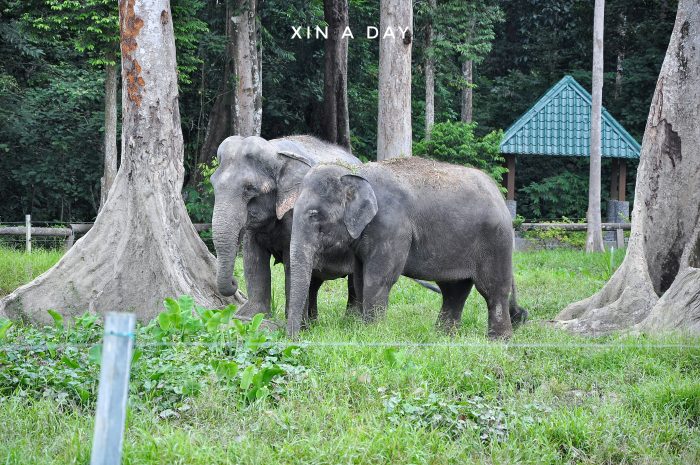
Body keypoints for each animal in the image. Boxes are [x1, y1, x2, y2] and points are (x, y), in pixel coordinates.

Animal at [211, 136, 358, 320]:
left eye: (250, 189)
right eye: (213, 184)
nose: (233, 282)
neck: (275, 152)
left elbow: (290, 262)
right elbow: (253, 259)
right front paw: (250, 316)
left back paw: (350, 319)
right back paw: (313, 321)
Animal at [284, 155, 524, 338]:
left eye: (314, 215)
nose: (297, 337)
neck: (356, 172)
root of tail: (499, 193)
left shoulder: (391, 227)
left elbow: (378, 278)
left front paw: (373, 334)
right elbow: (360, 278)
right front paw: (362, 330)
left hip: (496, 240)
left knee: (492, 289)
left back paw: (498, 340)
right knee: (454, 289)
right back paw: (442, 337)